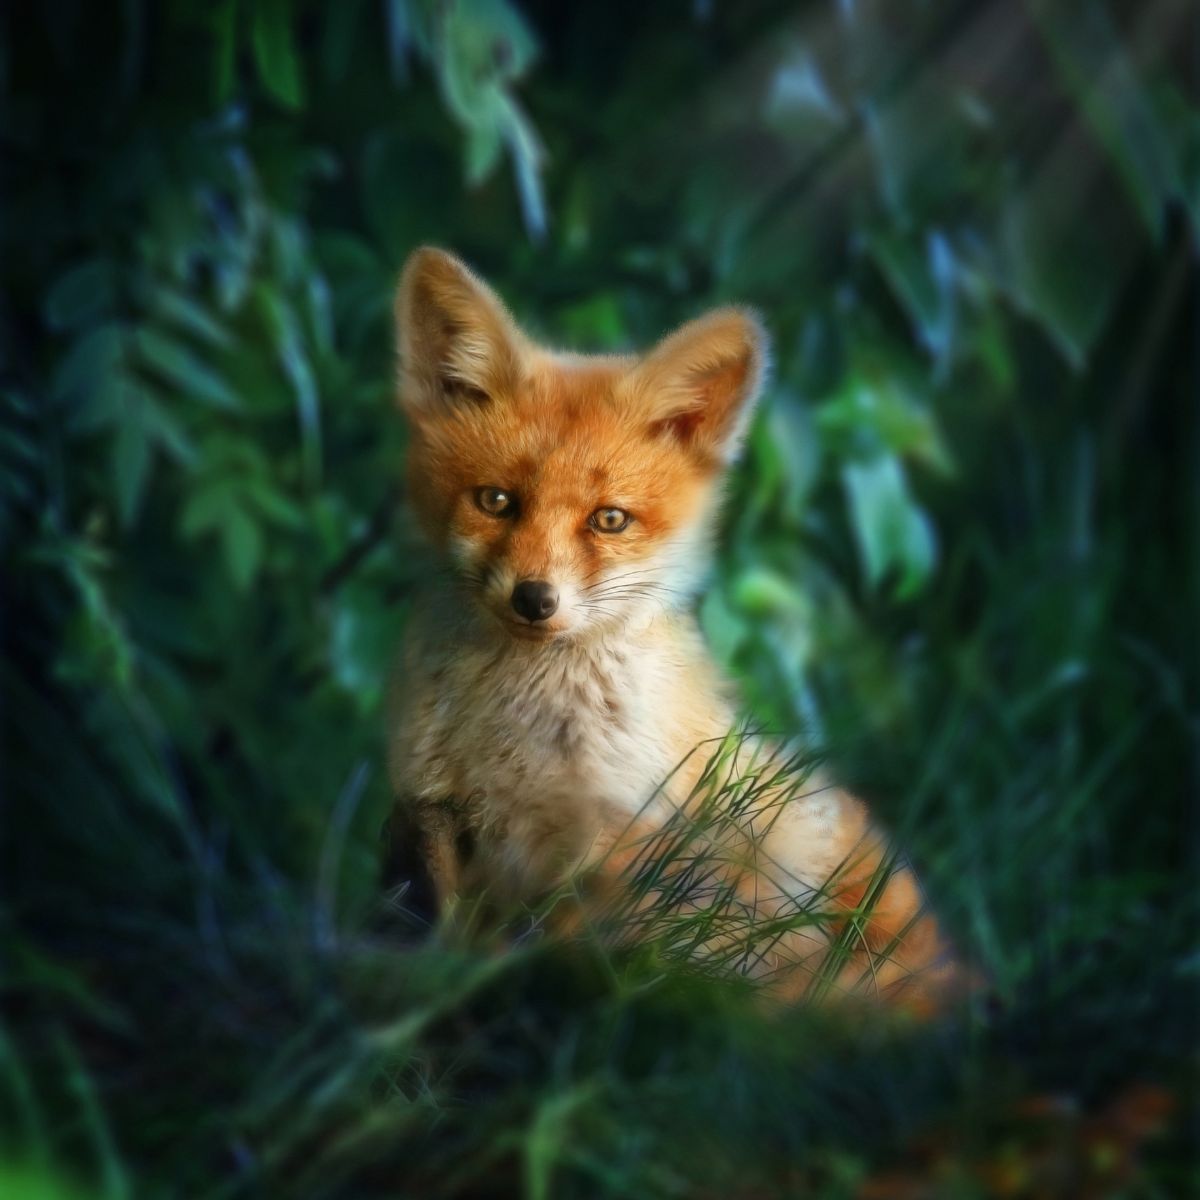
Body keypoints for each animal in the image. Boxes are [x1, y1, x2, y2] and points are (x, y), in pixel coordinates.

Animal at [385, 247, 966, 1012]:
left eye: (609, 519)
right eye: (496, 501)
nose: (535, 599)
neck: (523, 739)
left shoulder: (618, 839)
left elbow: (569, 954)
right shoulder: (435, 813)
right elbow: (451, 948)